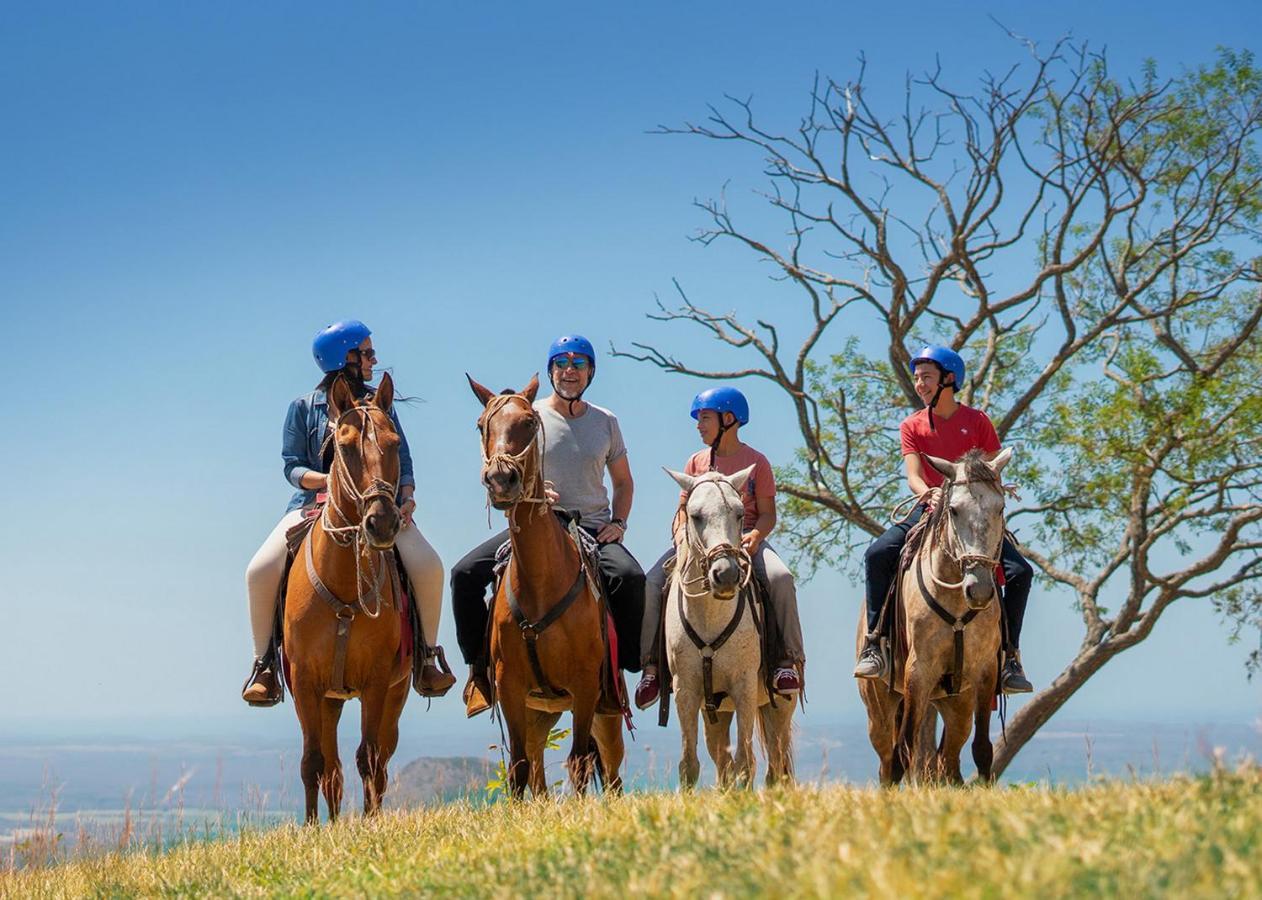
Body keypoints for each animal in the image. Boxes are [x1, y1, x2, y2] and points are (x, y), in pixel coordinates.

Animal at [283, 371, 411, 823]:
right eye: (344, 444)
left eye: (394, 441)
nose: (382, 523)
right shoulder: (306, 684)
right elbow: (313, 763)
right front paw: (312, 828)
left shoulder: (377, 681)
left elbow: (369, 758)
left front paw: (370, 824)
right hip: (328, 700)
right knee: (331, 767)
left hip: (395, 692)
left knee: (380, 759)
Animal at [466, 376, 623, 797]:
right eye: (482, 424)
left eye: (529, 422)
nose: (500, 480)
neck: (541, 583)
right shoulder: (511, 689)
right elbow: (519, 768)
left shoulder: (585, 687)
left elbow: (579, 763)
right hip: (538, 713)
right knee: (535, 766)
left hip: (606, 712)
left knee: (612, 771)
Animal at [666, 464, 792, 787]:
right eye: (695, 515)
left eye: (738, 513)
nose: (725, 574)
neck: (711, 616)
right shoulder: (686, 691)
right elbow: (689, 764)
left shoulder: (744, 687)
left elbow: (745, 763)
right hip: (718, 713)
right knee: (723, 761)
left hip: (779, 705)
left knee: (777, 766)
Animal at [853, 446, 1009, 782]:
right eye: (953, 510)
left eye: (1001, 508)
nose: (979, 590)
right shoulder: (918, 672)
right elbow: (904, 752)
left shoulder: (985, 672)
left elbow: (982, 749)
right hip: (880, 706)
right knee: (887, 759)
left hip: (957, 704)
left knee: (947, 760)